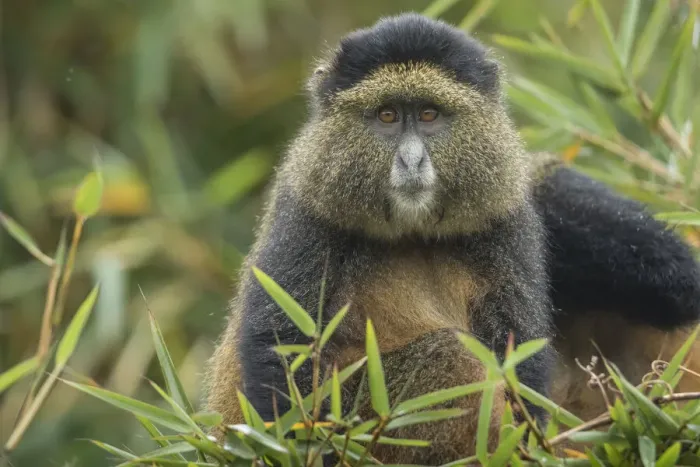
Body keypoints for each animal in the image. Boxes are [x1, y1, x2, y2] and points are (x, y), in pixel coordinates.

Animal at [204, 13, 700, 463]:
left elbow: (517, 346)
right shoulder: (308, 209)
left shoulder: (507, 216)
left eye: (429, 115)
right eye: (387, 116)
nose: (411, 160)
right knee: (445, 356)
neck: (413, 232)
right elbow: (284, 347)